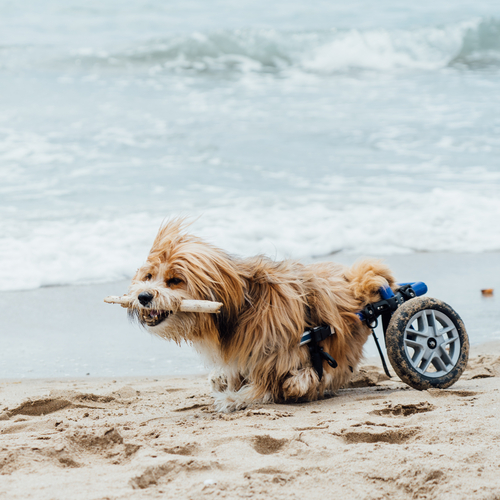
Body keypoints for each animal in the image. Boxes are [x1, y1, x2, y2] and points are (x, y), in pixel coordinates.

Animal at [127, 221, 396, 412]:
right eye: (149, 276)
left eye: (175, 280)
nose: (143, 296)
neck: (243, 307)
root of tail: (359, 279)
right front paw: (227, 385)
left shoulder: (279, 352)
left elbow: (274, 383)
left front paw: (235, 399)